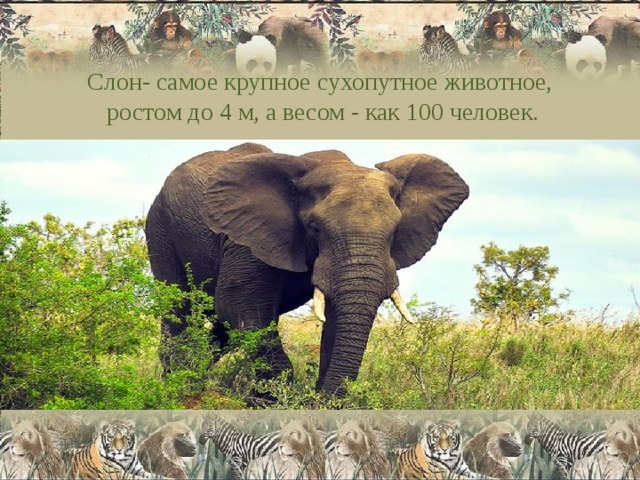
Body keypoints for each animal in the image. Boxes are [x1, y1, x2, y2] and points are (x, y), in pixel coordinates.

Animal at [145, 142, 469, 396]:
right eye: (315, 228)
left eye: (394, 231)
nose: (322, 400)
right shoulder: (247, 241)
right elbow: (239, 305)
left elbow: (337, 319)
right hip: (160, 228)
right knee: (180, 310)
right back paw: (179, 386)